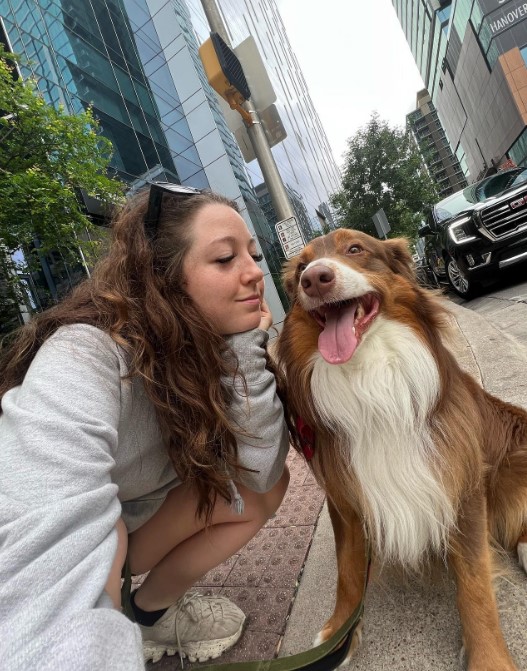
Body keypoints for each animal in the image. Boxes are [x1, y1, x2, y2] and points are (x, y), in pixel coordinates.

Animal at [276, 230, 527, 671]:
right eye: (300, 268)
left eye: (355, 249)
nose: (315, 279)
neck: (370, 379)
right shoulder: (345, 499)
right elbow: (347, 570)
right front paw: (340, 631)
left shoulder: (461, 483)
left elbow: (475, 584)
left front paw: (489, 659)